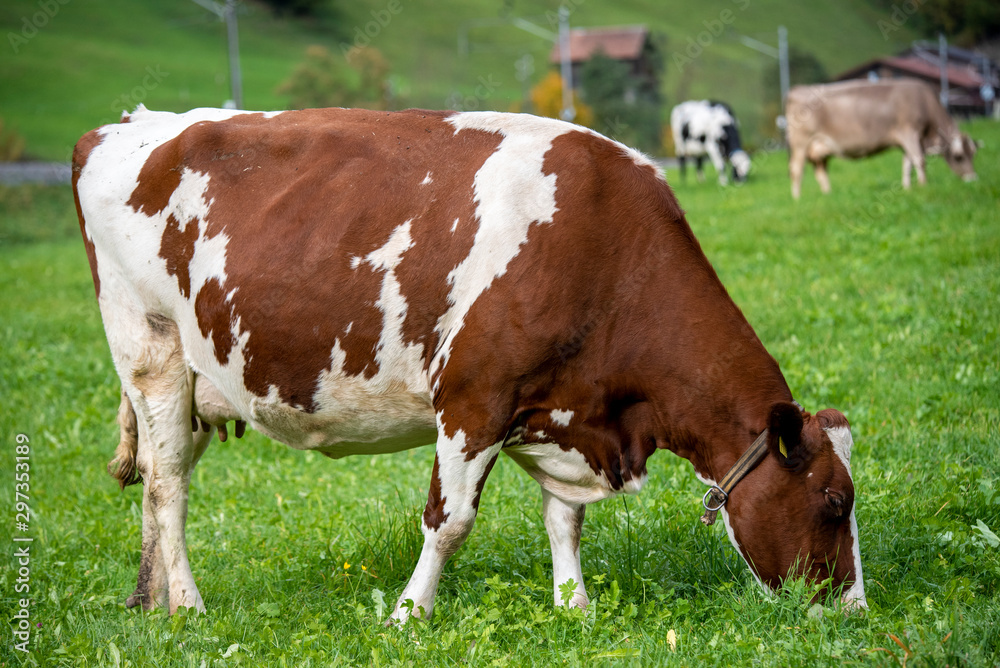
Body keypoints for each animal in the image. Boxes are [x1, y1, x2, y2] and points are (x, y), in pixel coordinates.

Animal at [784, 78, 980, 198]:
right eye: (958, 157)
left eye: (973, 155)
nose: (972, 179)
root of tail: (797, 89)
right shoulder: (908, 131)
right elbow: (920, 160)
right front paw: (924, 186)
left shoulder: (907, 141)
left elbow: (907, 164)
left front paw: (907, 188)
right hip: (800, 143)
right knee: (796, 170)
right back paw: (797, 198)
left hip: (820, 148)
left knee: (821, 173)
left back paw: (828, 195)